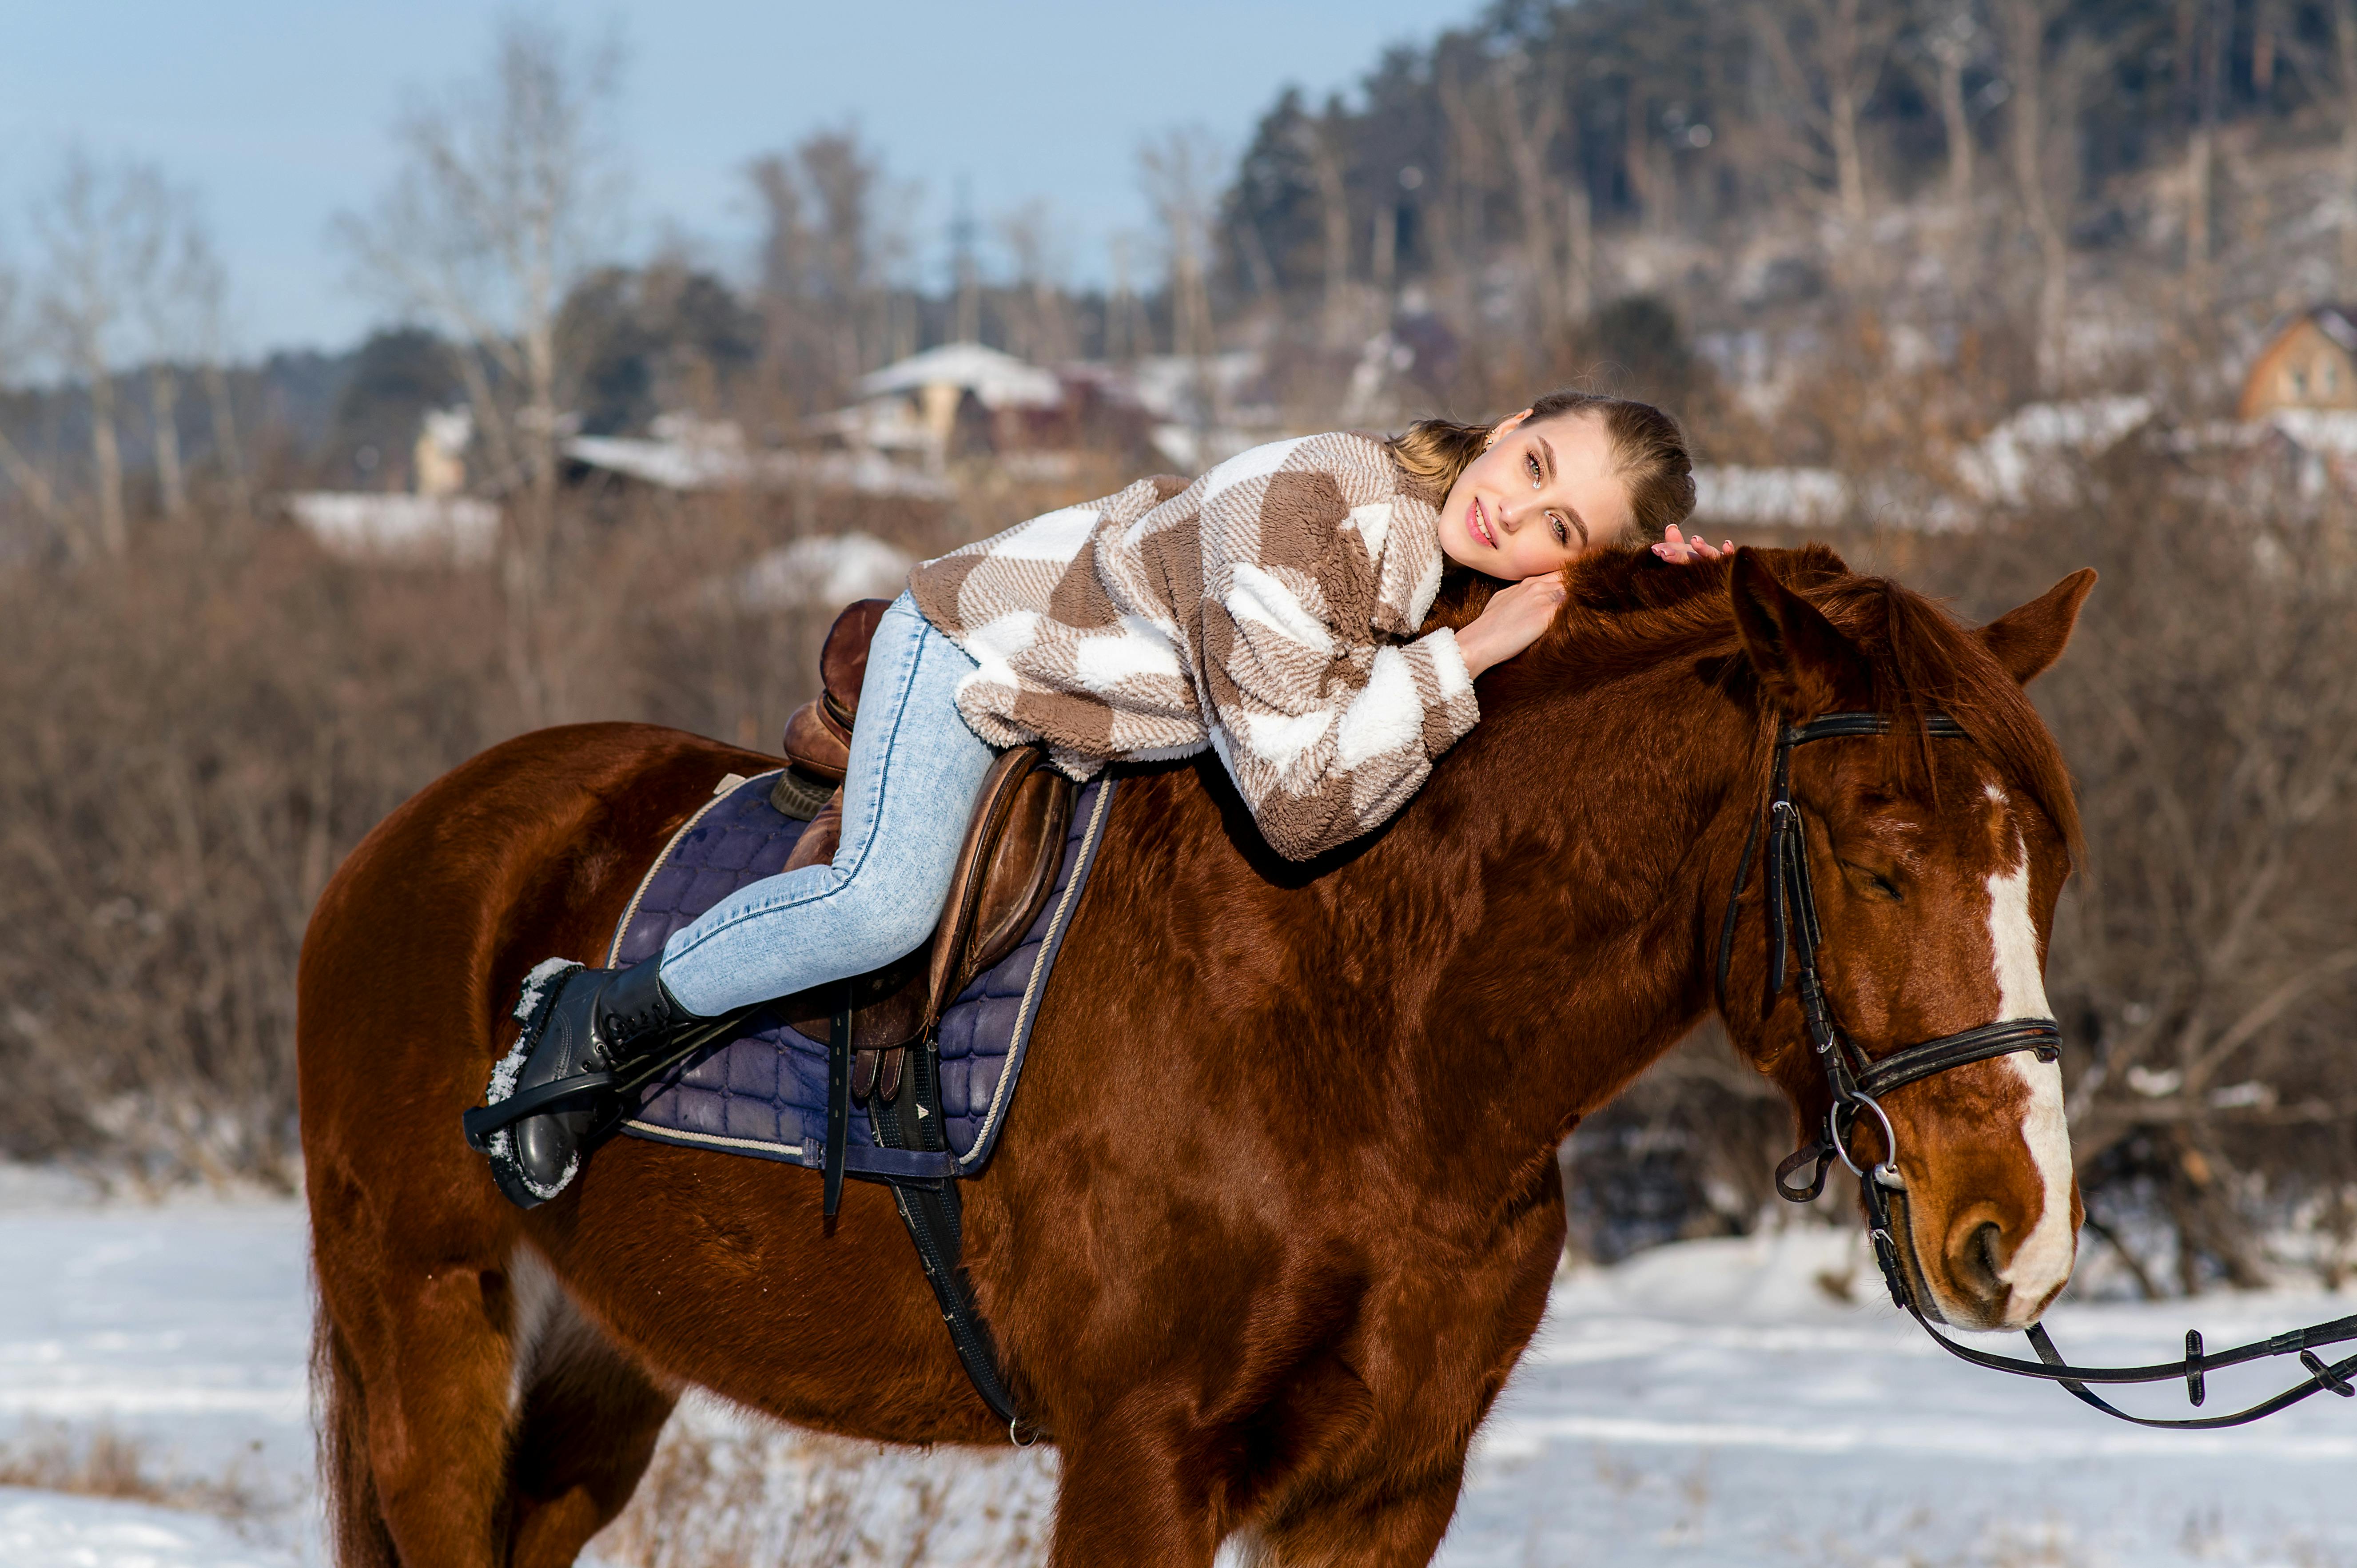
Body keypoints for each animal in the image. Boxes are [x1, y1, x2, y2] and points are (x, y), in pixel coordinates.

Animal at [299, 544, 2095, 1567]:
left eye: (2043, 869)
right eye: (1878, 857)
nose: (2014, 1232)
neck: (1365, 1025)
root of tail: (407, 845)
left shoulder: (1385, 1485)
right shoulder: (1140, 1458)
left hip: (602, 1361)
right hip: (428, 1323)